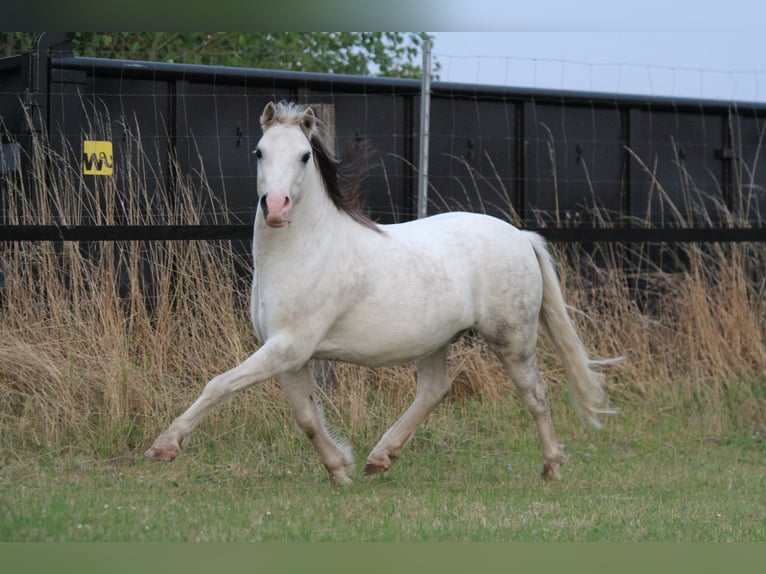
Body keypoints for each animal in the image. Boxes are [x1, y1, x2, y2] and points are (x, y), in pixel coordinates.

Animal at [145, 100, 615, 485]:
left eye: (304, 155)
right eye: (260, 151)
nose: (276, 207)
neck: (303, 251)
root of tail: (520, 236)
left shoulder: (290, 346)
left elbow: (219, 385)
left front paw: (164, 446)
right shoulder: (286, 352)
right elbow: (307, 417)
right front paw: (340, 469)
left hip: (512, 338)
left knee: (535, 394)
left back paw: (552, 466)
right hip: (434, 340)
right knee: (435, 389)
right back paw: (380, 457)